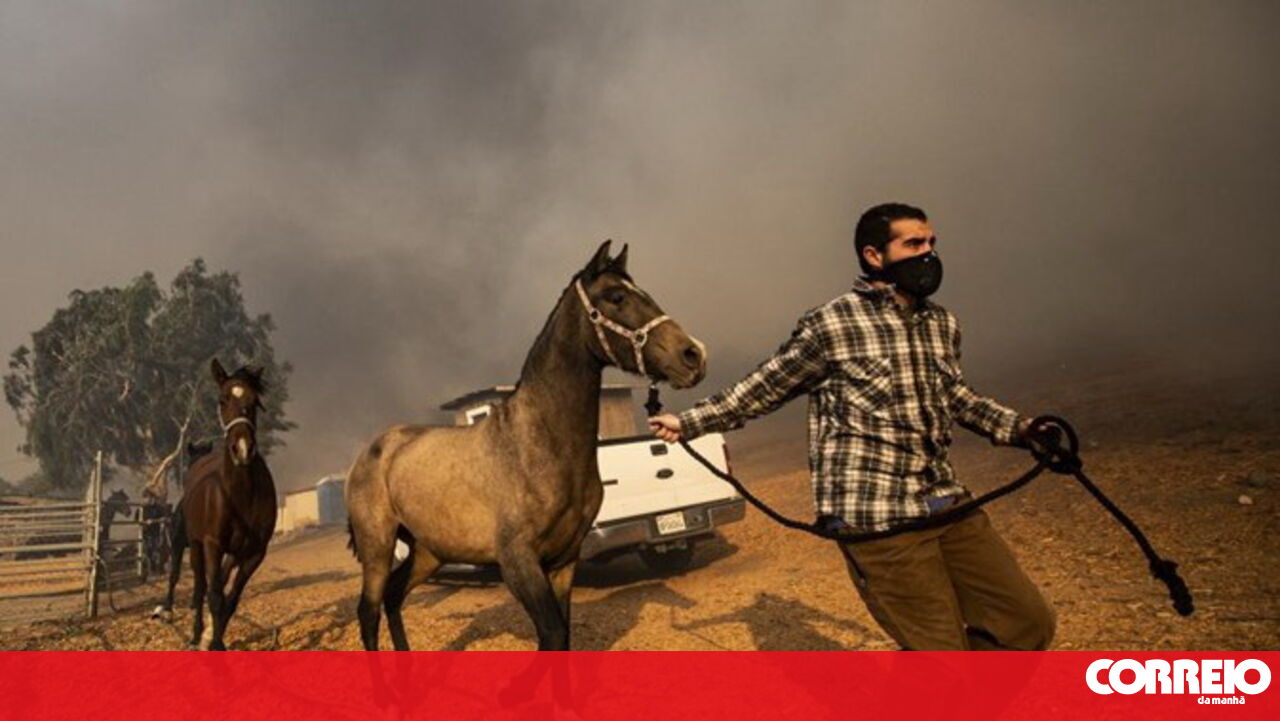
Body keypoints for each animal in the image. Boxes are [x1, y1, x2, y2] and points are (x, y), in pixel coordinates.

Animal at [154, 360, 277, 650]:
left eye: (255, 402)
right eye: (222, 400)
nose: (242, 449)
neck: (241, 495)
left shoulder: (254, 552)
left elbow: (230, 599)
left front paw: (216, 639)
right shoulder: (212, 544)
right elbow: (214, 594)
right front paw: (211, 641)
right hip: (194, 546)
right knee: (197, 585)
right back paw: (192, 630)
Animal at [346, 241, 707, 651]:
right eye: (617, 297)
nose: (693, 356)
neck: (539, 444)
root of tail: (371, 452)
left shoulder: (565, 561)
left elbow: (562, 636)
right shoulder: (519, 564)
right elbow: (551, 634)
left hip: (428, 551)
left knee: (393, 596)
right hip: (378, 548)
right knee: (369, 610)